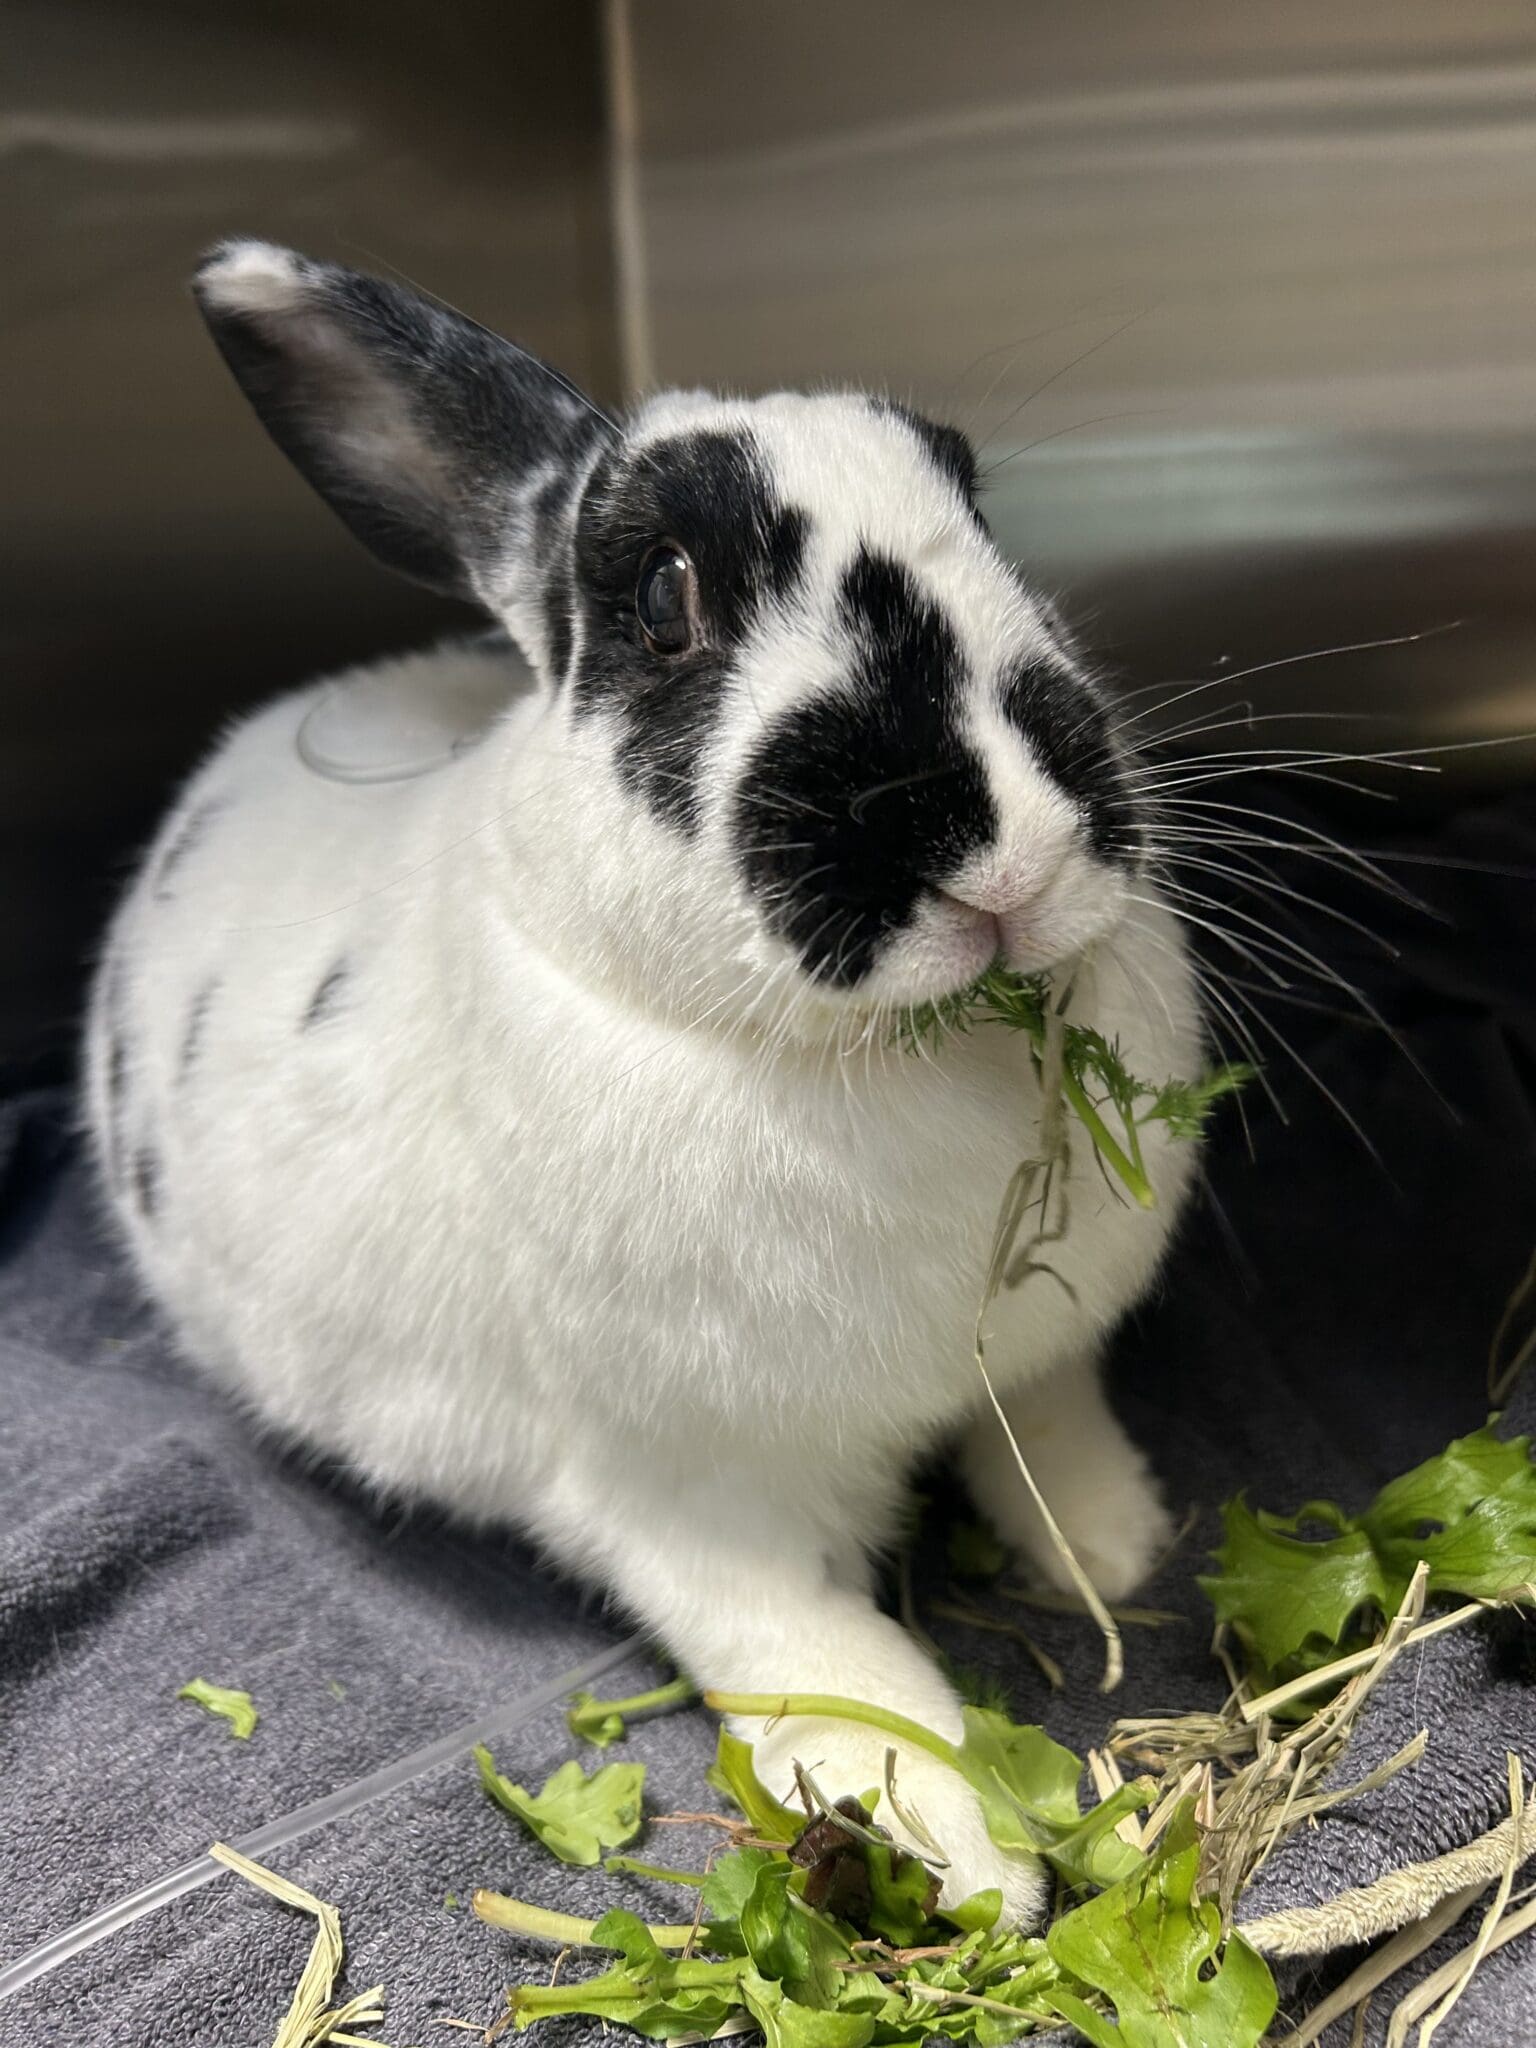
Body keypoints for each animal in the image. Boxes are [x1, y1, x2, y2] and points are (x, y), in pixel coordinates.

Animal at [85, 241, 1204, 1926]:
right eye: (664, 594)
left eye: (979, 504)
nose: (1008, 854)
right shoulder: (685, 1495)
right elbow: (830, 1662)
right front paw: (957, 1853)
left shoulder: (1036, 1358)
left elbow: (1051, 1429)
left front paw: (1114, 1546)